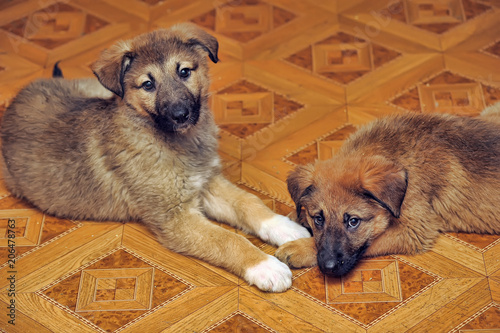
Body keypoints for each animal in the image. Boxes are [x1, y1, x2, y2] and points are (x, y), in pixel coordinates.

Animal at [1, 22, 308, 290]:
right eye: (148, 84)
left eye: (184, 71)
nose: (181, 115)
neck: (176, 142)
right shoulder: (175, 217)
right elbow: (227, 239)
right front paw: (265, 266)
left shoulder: (207, 183)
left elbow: (249, 203)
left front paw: (286, 228)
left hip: (97, 89)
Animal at [276, 108, 500, 274]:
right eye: (318, 219)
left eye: (353, 221)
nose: (328, 268)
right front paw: (294, 218)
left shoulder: (412, 231)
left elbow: (370, 243)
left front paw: (301, 248)